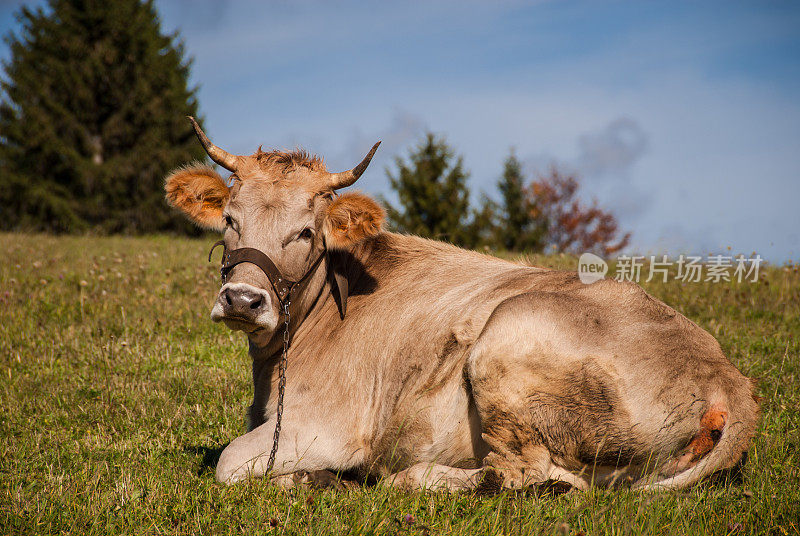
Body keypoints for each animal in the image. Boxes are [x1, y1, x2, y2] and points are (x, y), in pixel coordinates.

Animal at [164, 119, 756, 492]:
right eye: (230, 218)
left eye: (307, 231)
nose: (243, 299)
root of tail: (729, 381)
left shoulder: (323, 426)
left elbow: (227, 462)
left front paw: (312, 477)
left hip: (508, 340)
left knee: (529, 476)